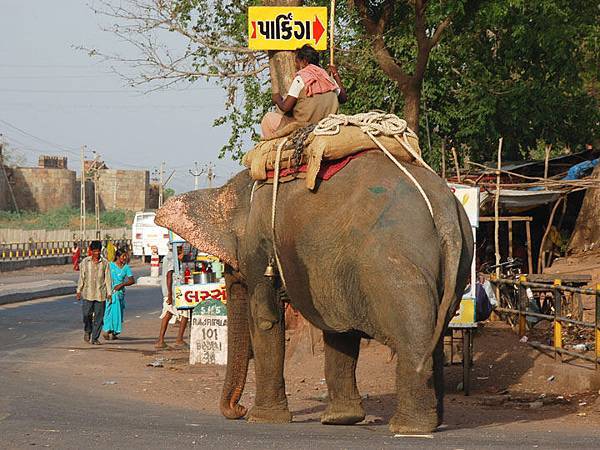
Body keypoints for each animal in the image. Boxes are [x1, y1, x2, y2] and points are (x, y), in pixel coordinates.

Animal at [155, 151, 474, 432]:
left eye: (230, 265)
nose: (238, 409)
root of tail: (445, 208)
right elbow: (339, 332)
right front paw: (340, 420)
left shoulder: (260, 247)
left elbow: (266, 321)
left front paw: (262, 419)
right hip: (457, 266)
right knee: (436, 329)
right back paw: (433, 421)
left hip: (394, 265)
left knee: (413, 333)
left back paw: (409, 427)